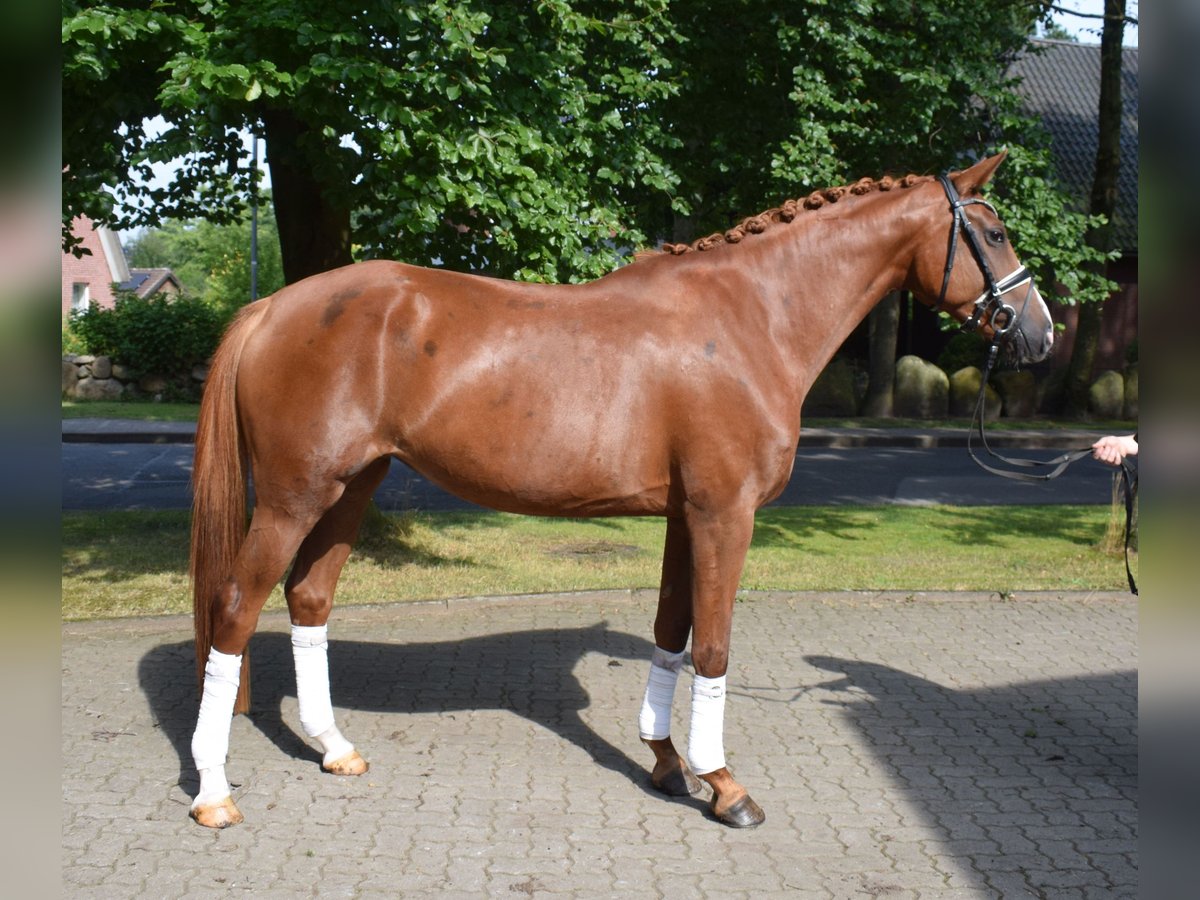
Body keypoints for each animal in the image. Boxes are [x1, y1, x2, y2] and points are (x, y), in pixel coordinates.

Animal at [184, 150, 1051, 830]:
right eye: (994, 233)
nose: (1040, 335)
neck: (750, 318)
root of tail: (273, 306)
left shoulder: (683, 516)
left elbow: (672, 632)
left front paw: (666, 762)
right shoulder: (724, 514)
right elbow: (714, 645)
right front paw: (724, 785)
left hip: (352, 487)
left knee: (309, 602)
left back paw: (334, 748)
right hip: (296, 497)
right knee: (234, 609)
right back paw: (214, 790)